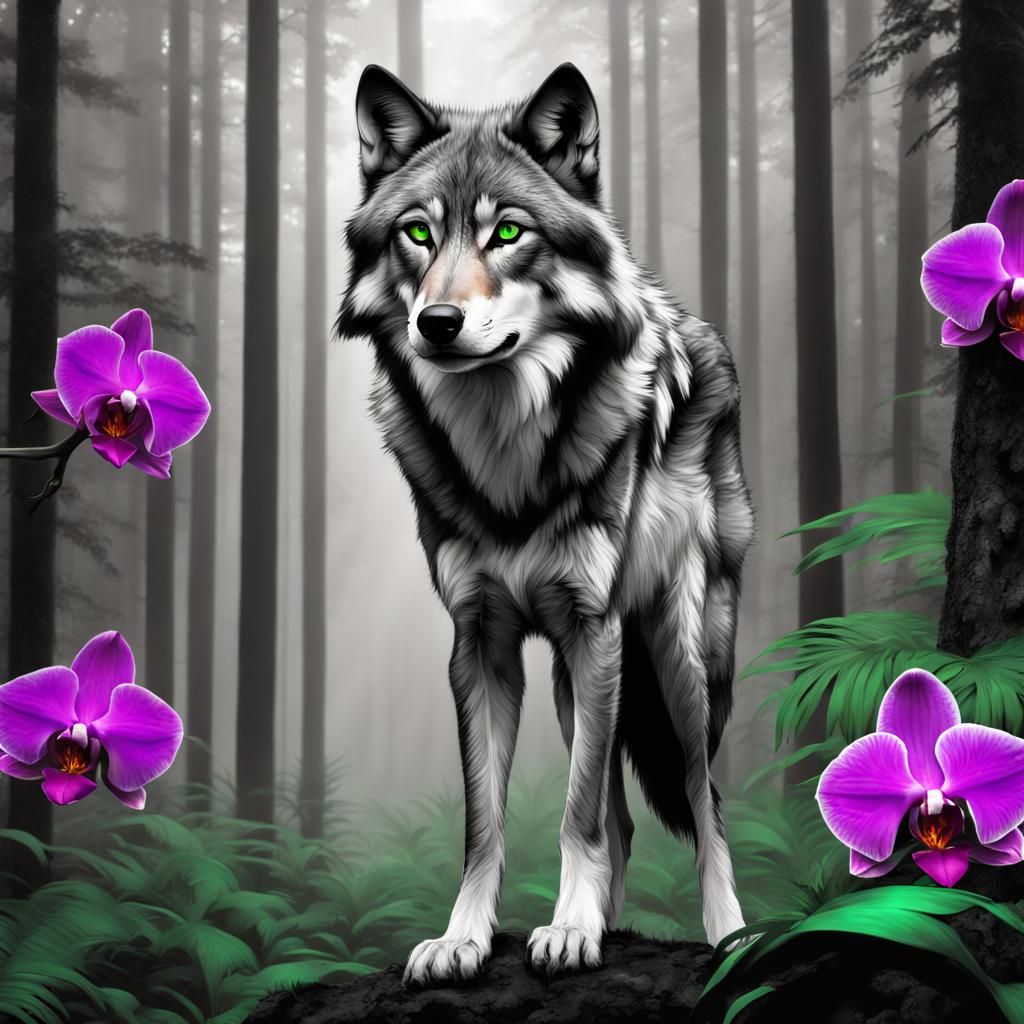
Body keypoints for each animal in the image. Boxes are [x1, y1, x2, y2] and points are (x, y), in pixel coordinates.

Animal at [336, 62, 754, 986]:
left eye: (508, 233)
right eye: (418, 234)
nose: (438, 324)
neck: (504, 456)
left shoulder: (593, 628)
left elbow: (577, 815)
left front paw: (567, 929)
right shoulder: (480, 643)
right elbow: (486, 823)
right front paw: (464, 939)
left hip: (673, 660)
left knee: (704, 800)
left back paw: (730, 936)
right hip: (578, 679)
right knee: (628, 819)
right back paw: (610, 919)